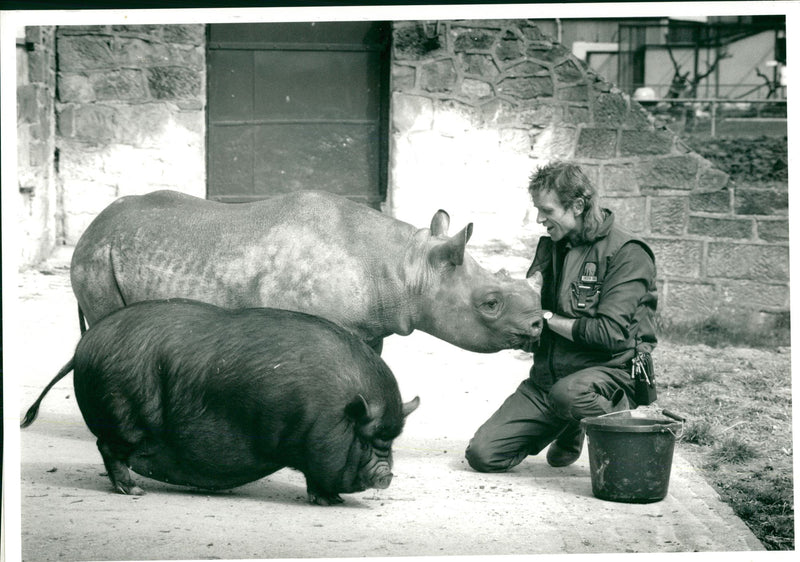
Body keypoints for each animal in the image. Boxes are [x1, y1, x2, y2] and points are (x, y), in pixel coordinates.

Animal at [20, 298, 418, 504]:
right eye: (366, 439)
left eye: (391, 440)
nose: (386, 474)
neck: (335, 412)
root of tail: (82, 349)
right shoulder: (312, 445)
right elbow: (317, 477)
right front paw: (329, 502)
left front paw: (335, 501)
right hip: (123, 415)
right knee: (109, 448)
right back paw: (133, 491)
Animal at [70, 190, 544, 352]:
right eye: (490, 303)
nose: (539, 325)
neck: (406, 267)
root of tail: (90, 227)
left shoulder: (369, 327)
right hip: (96, 257)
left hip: (113, 249)